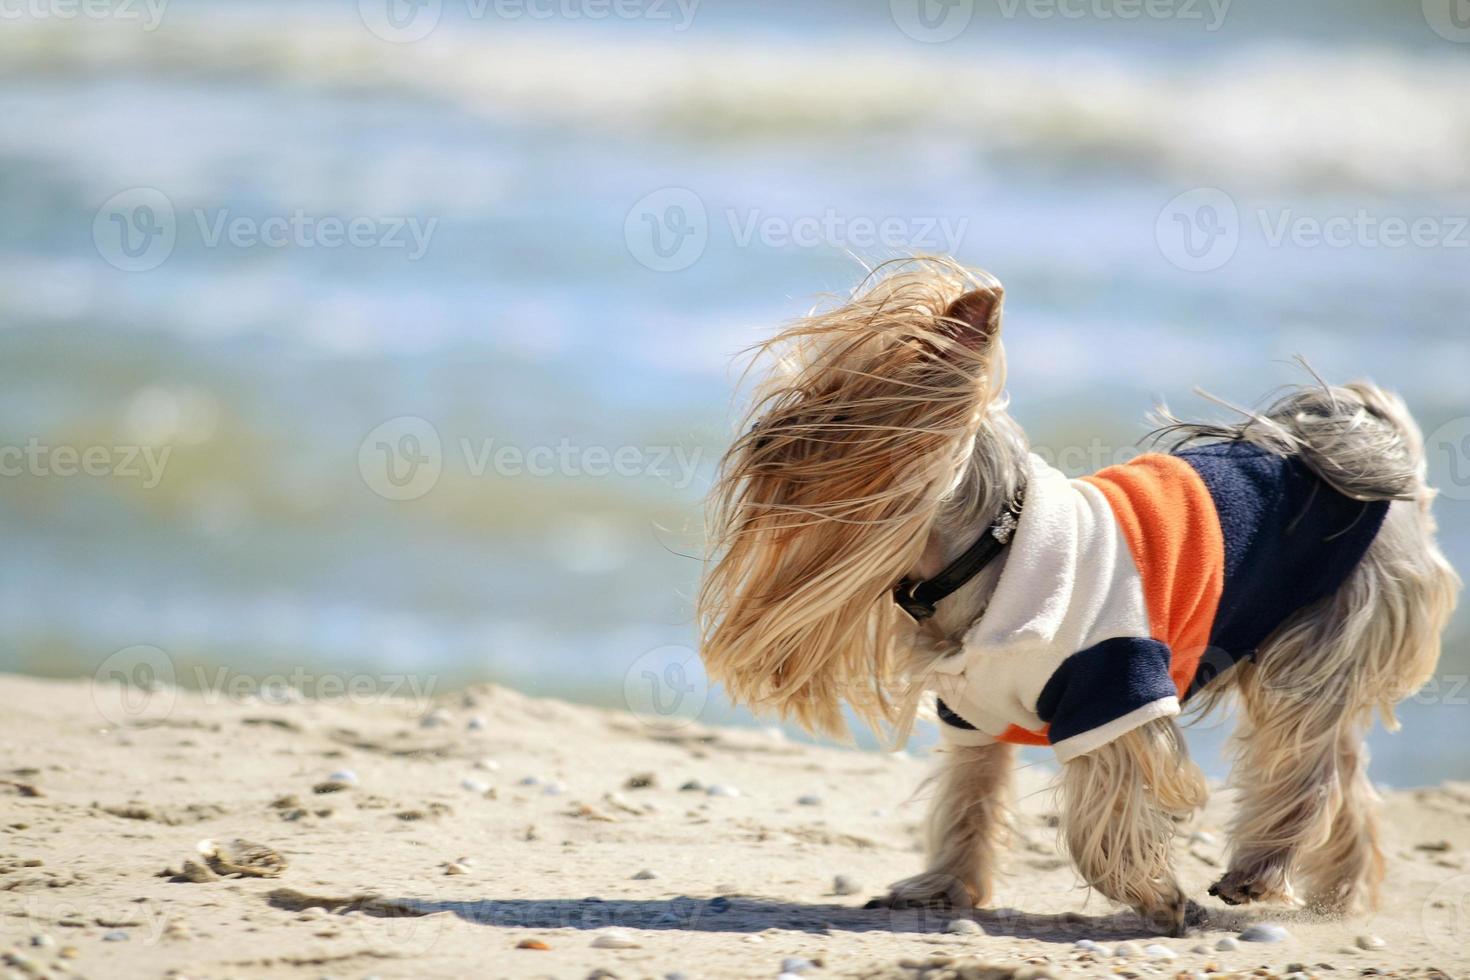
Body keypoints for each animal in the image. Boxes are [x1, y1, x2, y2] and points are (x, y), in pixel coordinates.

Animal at [699, 258, 1458, 934]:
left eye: (837, 405)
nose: (764, 437)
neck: (990, 551)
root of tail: (1388, 464)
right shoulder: (970, 708)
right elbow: (971, 792)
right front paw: (943, 886)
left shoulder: (1114, 688)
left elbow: (1109, 807)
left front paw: (1158, 899)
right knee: (1346, 767)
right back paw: (1340, 896)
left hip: (1324, 626)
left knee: (1305, 752)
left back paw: (1259, 871)